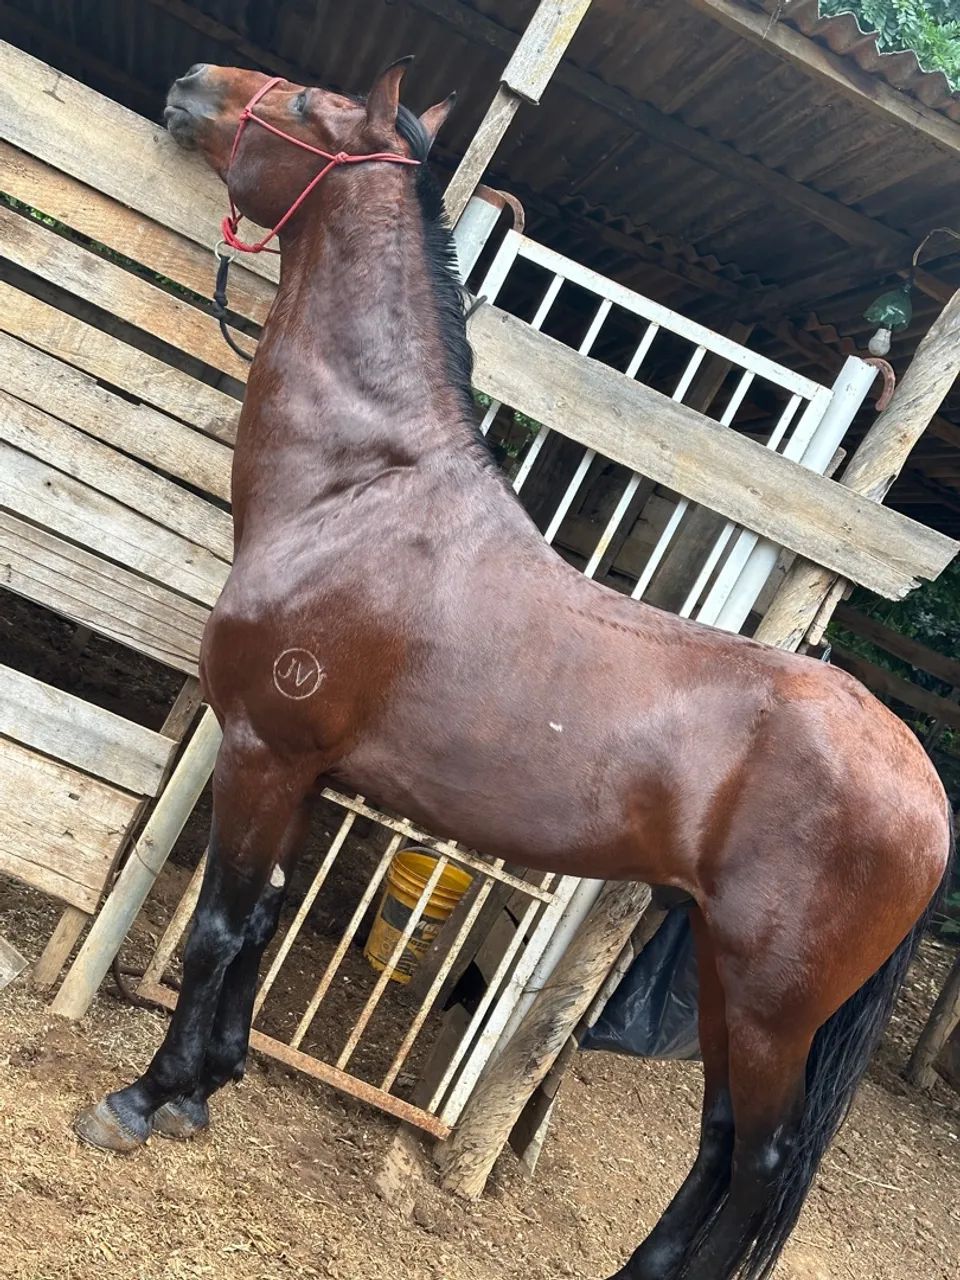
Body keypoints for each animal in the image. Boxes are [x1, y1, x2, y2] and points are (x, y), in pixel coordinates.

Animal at [74, 58, 953, 1280]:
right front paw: (210, 1083)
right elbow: (260, 921)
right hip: (724, 975)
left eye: (301, 106)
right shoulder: (307, 776)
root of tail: (924, 784)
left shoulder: (261, 751)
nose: (195, 83)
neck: (361, 489)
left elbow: (216, 922)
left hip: (777, 1003)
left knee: (764, 1163)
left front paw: (147, 1096)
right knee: (721, 1138)